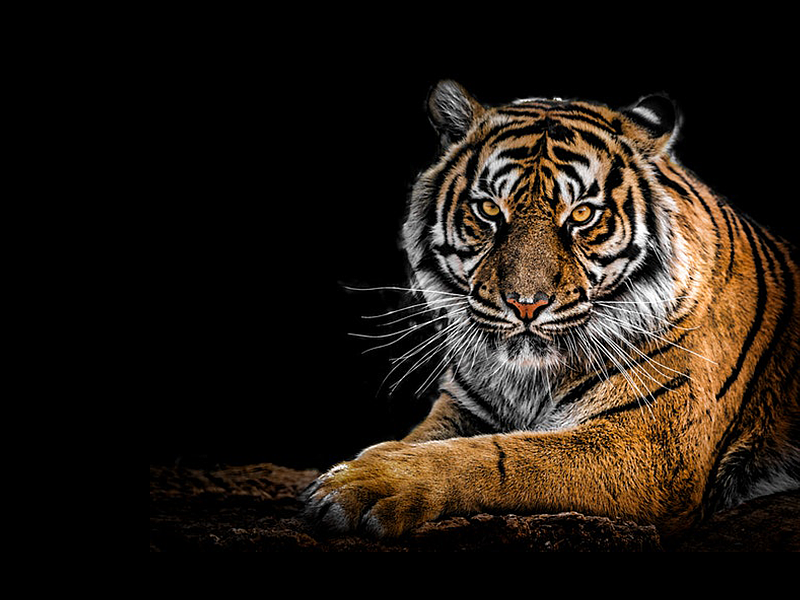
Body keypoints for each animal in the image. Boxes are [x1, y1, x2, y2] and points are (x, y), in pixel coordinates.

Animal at [302, 80, 800, 538]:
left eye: (581, 215)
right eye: (488, 210)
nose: (526, 305)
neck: (528, 379)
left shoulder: (652, 447)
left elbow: (499, 456)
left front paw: (366, 483)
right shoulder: (462, 406)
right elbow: (421, 439)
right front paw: (361, 465)